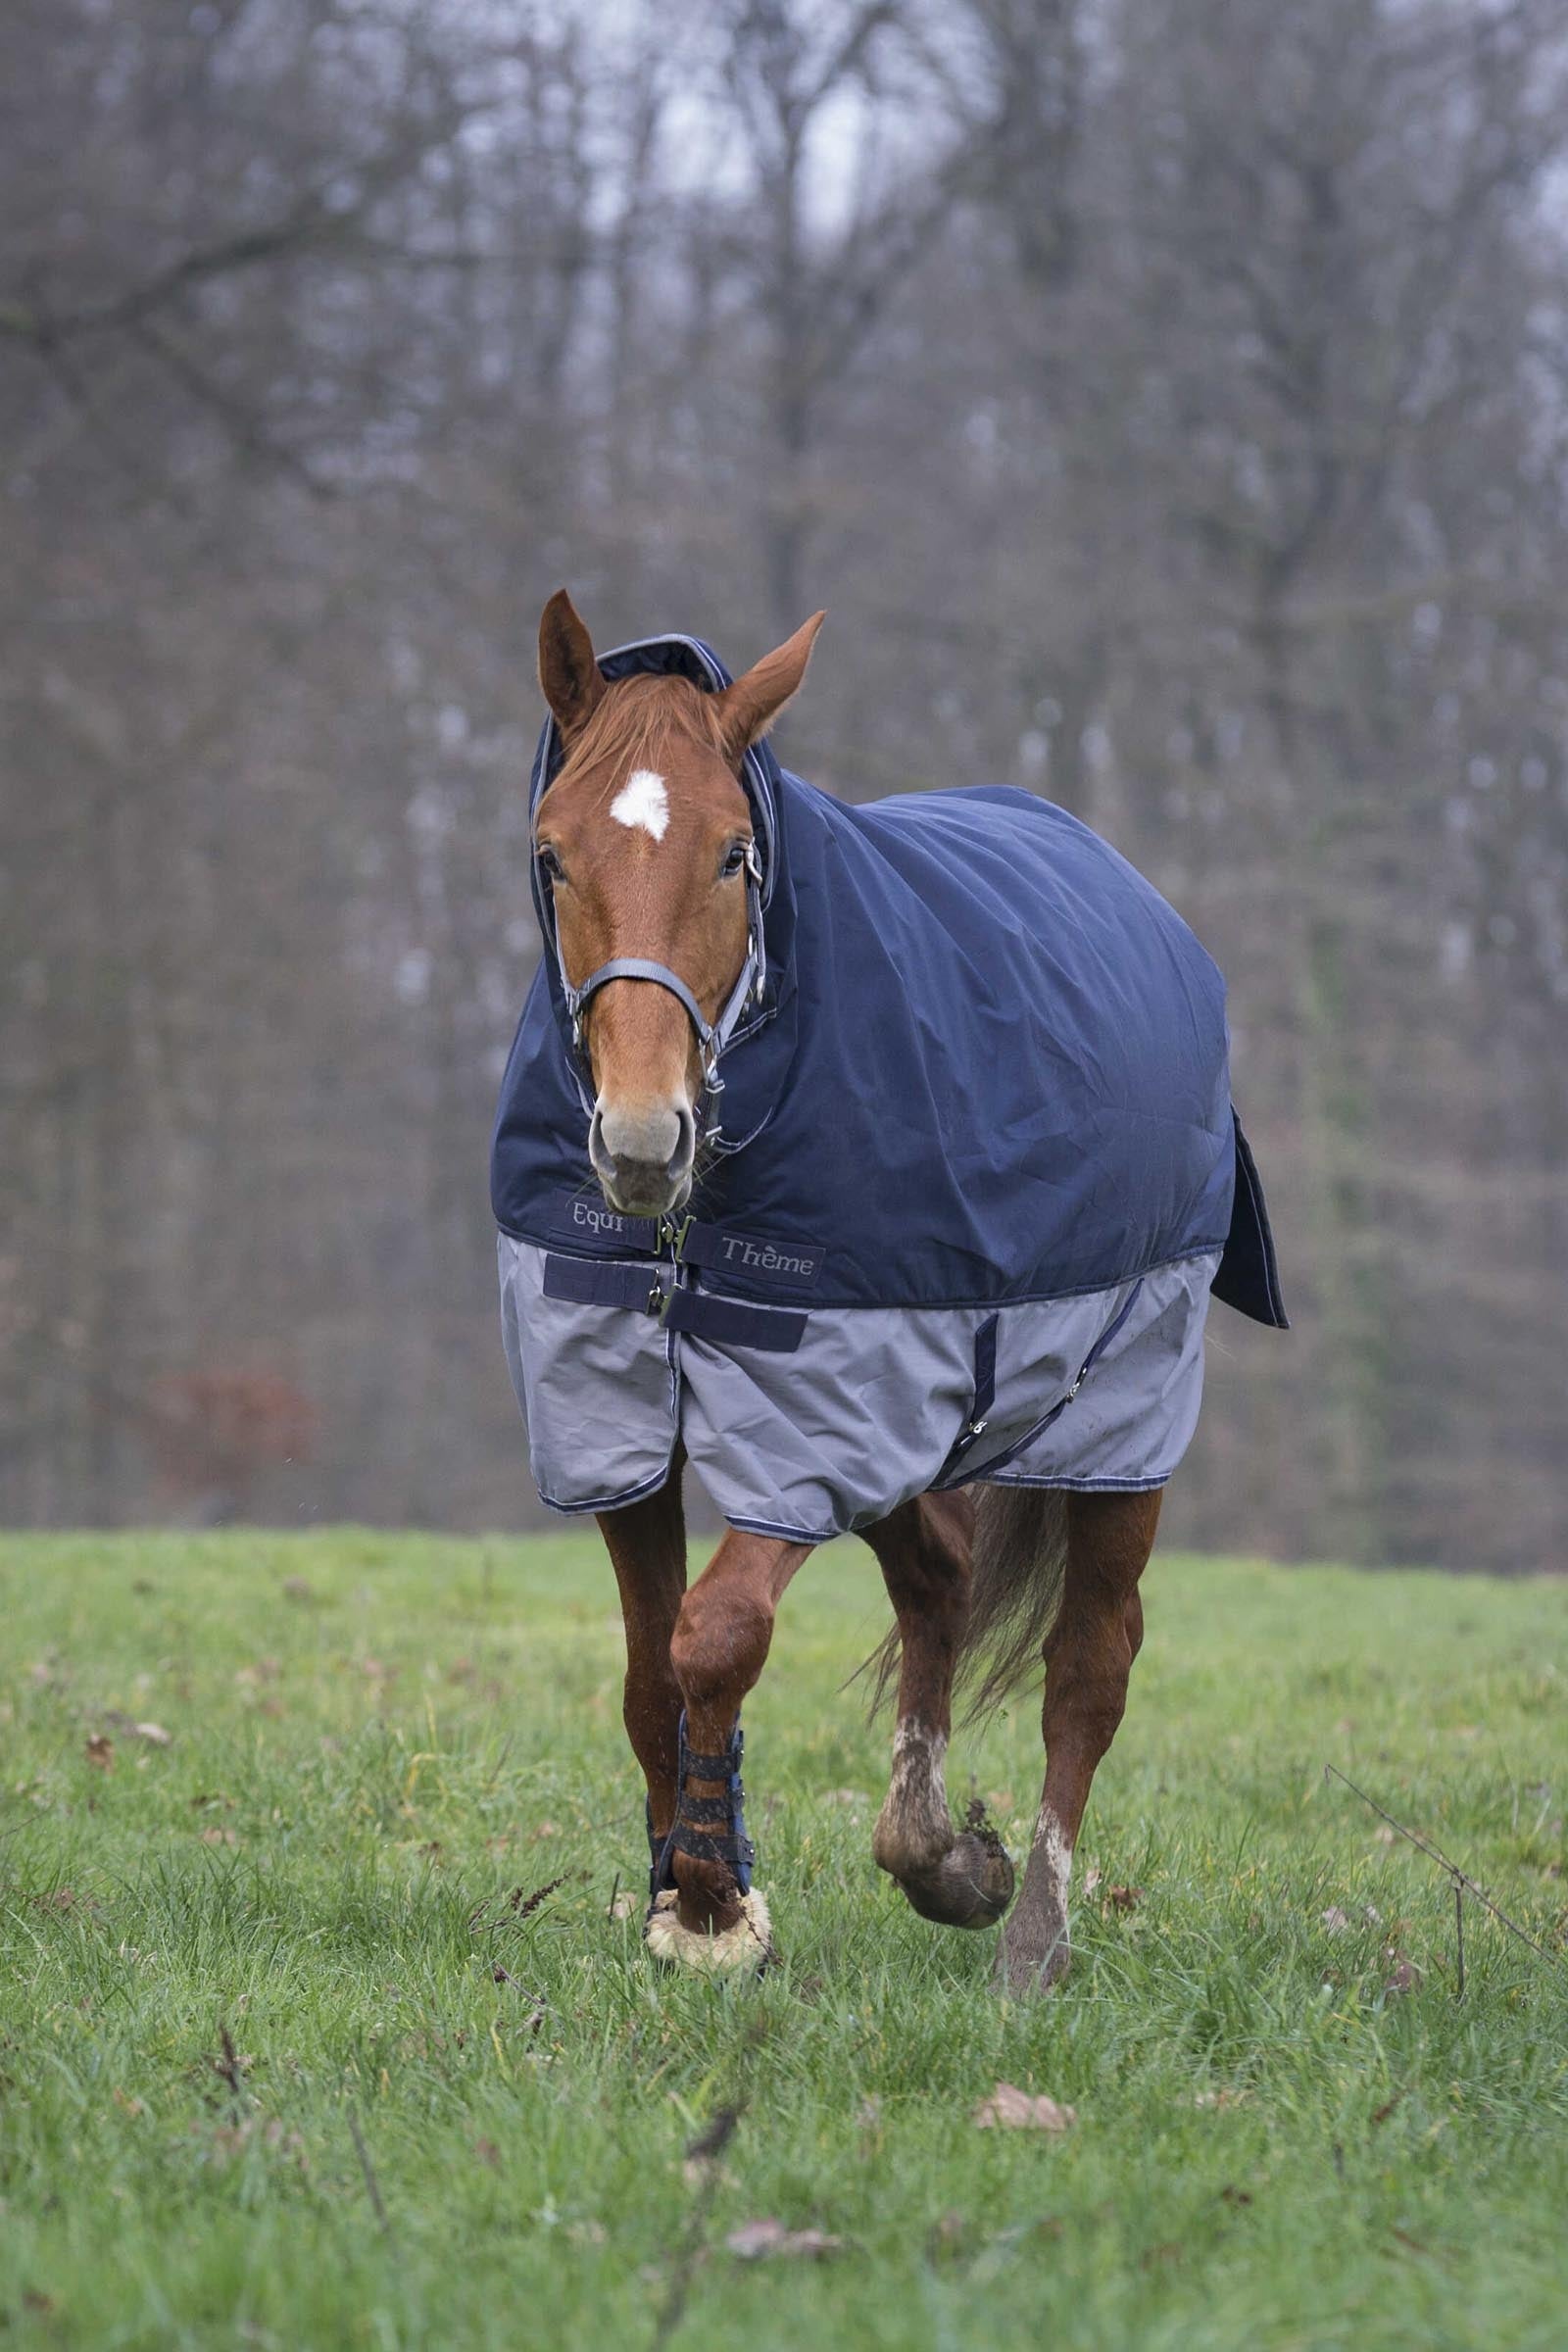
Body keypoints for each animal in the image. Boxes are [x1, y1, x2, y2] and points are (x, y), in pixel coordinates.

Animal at [492, 591, 1285, 1989]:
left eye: (734, 857)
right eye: (554, 856)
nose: (641, 1142)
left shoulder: (813, 1417)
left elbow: (714, 1636)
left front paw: (711, 1905)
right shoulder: (614, 1419)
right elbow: (649, 1673)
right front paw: (684, 1889)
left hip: (1117, 1407)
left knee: (1090, 1663)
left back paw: (1032, 1936)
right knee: (940, 1582)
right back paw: (939, 1858)